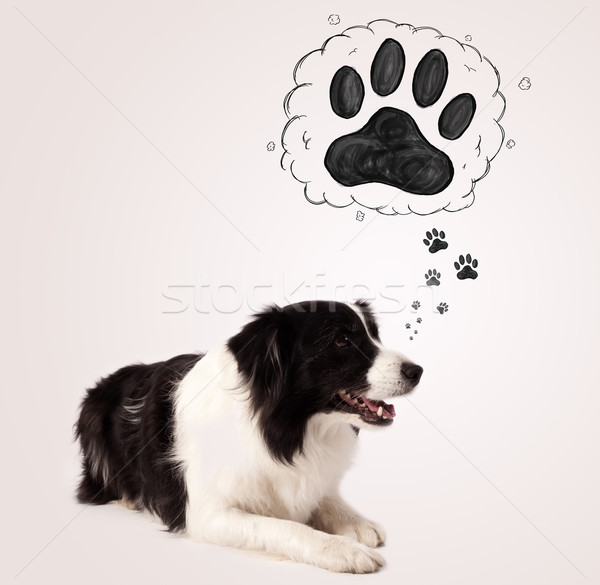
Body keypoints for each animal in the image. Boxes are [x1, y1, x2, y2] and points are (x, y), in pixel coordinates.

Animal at [76, 302, 422, 572]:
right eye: (342, 340)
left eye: (374, 334)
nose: (417, 371)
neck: (286, 429)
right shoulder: (208, 515)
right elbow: (285, 527)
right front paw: (342, 550)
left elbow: (323, 496)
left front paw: (356, 521)